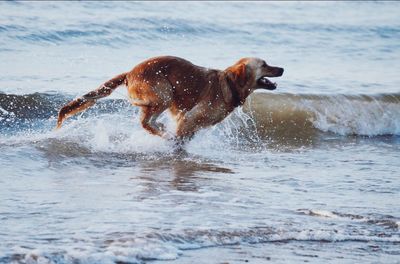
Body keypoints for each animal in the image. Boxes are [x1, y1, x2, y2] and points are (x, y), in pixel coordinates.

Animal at [56, 54, 282, 143]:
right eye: (264, 64)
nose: (282, 69)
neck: (230, 85)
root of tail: (129, 73)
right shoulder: (190, 118)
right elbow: (180, 138)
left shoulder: (187, 120)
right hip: (164, 92)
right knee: (145, 121)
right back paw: (162, 133)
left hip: (164, 99)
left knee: (149, 120)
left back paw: (162, 130)